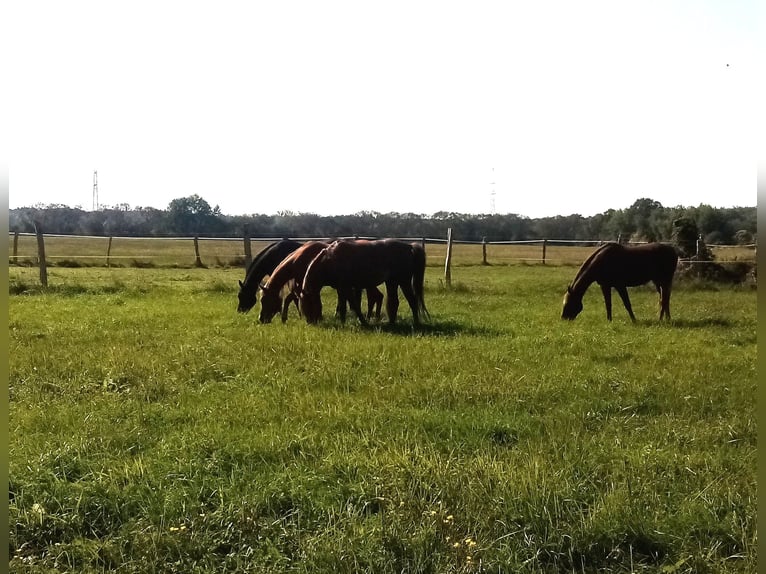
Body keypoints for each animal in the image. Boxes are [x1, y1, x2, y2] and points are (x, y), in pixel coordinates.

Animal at [260, 242, 388, 326]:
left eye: (265, 300)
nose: (261, 319)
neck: (298, 259)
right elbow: (291, 299)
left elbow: (291, 299)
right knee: (376, 297)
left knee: (376, 297)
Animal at [302, 240, 432, 328]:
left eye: (307, 303)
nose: (309, 322)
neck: (330, 259)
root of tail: (409, 247)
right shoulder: (342, 288)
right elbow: (345, 306)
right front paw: (345, 322)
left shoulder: (346, 288)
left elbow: (353, 306)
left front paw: (361, 322)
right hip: (392, 282)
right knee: (394, 302)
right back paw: (391, 323)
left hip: (403, 282)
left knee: (412, 301)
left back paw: (416, 323)